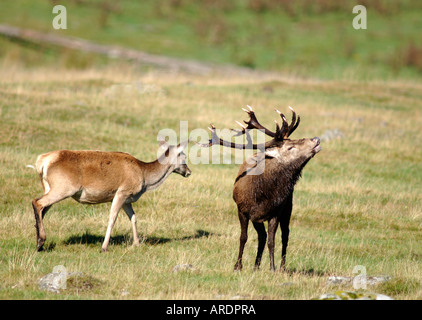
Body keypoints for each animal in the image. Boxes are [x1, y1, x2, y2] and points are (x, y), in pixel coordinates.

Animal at [32, 140, 190, 252]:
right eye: (183, 156)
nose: (188, 172)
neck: (145, 177)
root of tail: (42, 162)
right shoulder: (122, 192)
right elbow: (112, 218)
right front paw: (104, 247)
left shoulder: (127, 199)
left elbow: (133, 218)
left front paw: (137, 244)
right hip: (63, 188)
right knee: (37, 202)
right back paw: (40, 242)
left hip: (48, 187)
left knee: (42, 209)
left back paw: (40, 243)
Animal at [200, 107, 320, 270]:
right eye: (290, 147)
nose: (316, 139)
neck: (263, 194)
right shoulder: (242, 210)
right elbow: (243, 237)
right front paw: (238, 266)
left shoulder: (276, 211)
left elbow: (272, 241)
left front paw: (272, 268)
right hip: (257, 218)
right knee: (262, 236)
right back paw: (256, 266)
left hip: (288, 207)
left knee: (285, 235)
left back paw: (281, 267)